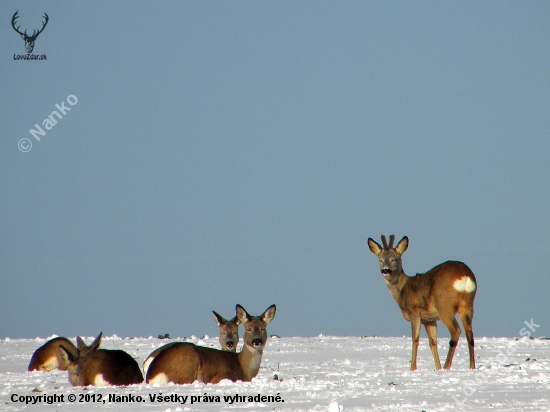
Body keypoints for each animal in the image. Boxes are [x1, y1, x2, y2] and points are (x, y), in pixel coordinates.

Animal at [146, 304, 276, 384]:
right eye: (248, 329)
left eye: (263, 328)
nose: (257, 341)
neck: (244, 369)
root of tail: (152, 376)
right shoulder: (224, 375)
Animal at [370, 233, 478, 372]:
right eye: (380, 259)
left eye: (394, 259)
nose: (385, 270)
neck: (403, 290)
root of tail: (464, 276)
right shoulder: (429, 319)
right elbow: (433, 343)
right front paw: (437, 368)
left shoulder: (414, 312)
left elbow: (415, 339)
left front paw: (413, 368)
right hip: (468, 304)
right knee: (469, 332)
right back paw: (471, 367)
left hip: (444, 306)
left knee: (456, 330)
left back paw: (447, 366)